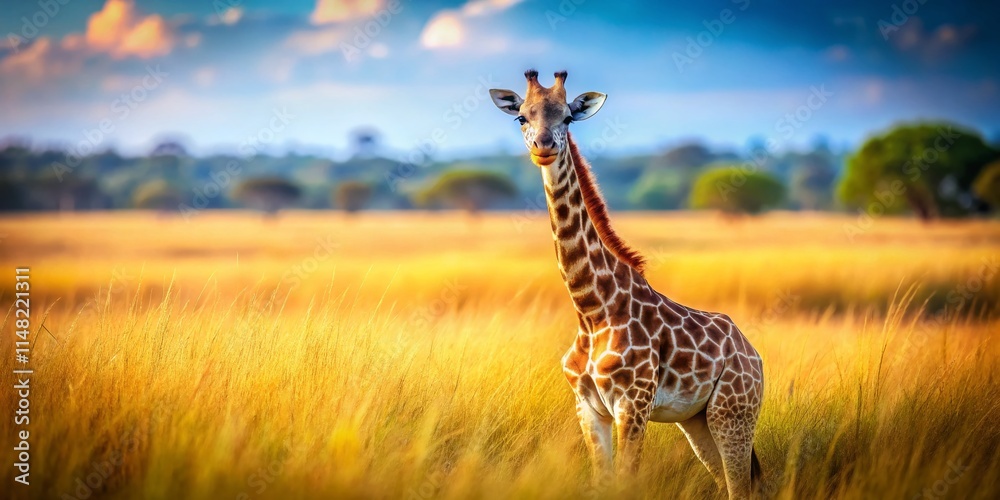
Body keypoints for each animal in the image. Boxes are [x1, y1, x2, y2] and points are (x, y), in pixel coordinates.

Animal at [489, 70, 765, 499]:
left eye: (567, 117)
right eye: (522, 116)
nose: (544, 147)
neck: (591, 308)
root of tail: (754, 355)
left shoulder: (632, 404)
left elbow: (626, 481)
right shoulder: (588, 407)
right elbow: (603, 481)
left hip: (734, 412)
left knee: (740, 486)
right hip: (697, 420)